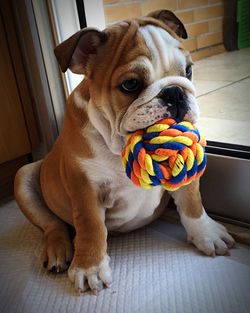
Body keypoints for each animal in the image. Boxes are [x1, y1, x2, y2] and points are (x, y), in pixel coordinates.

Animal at [15, 9, 234, 292]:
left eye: (188, 71)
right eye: (130, 84)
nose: (174, 92)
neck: (116, 144)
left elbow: (192, 202)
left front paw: (207, 234)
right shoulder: (85, 188)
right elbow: (91, 227)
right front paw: (90, 268)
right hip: (24, 176)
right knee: (53, 224)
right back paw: (59, 252)